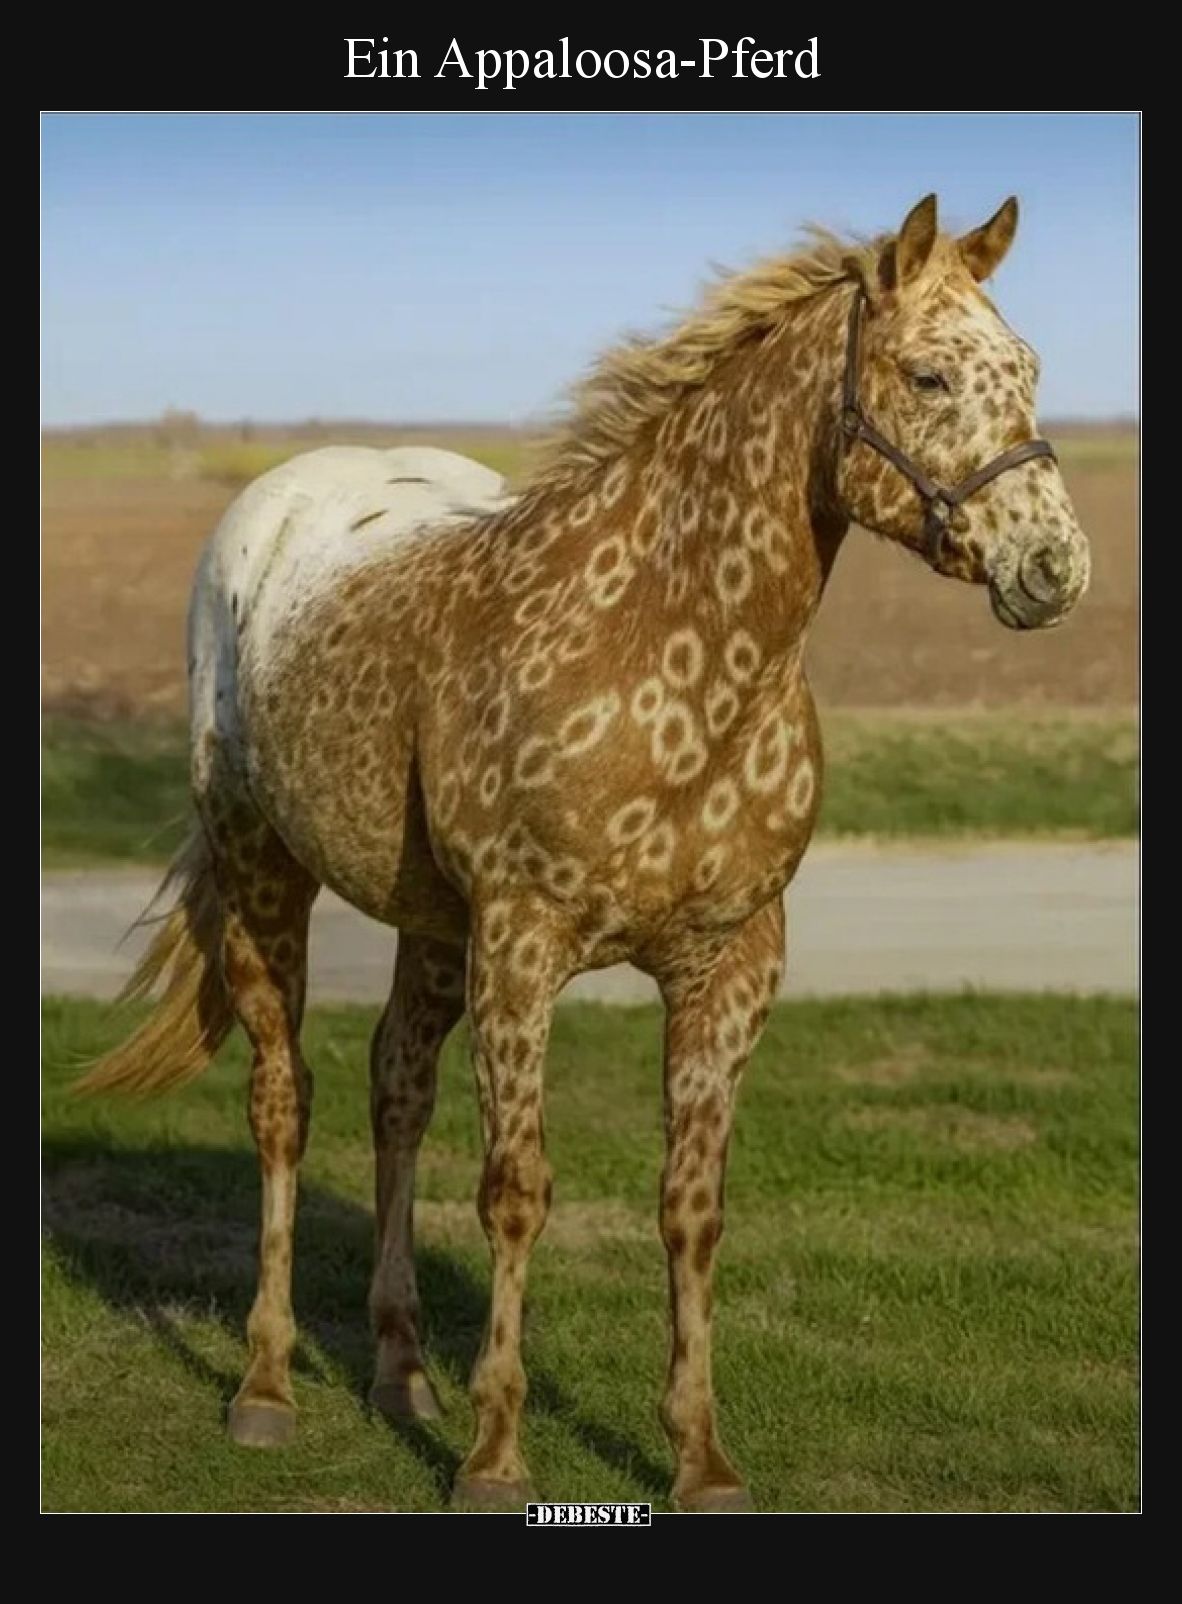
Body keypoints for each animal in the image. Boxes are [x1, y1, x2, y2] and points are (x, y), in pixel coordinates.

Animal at [80, 194, 1091, 1512]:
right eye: (927, 374)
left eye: (1027, 370)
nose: (1055, 568)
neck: (660, 651)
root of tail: (278, 506)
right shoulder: (523, 946)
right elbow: (516, 1192)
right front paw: (495, 1456)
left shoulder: (730, 965)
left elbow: (691, 1207)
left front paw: (701, 1456)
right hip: (264, 873)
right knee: (282, 1102)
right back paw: (265, 1386)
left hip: (429, 924)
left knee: (395, 1088)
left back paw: (401, 1371)